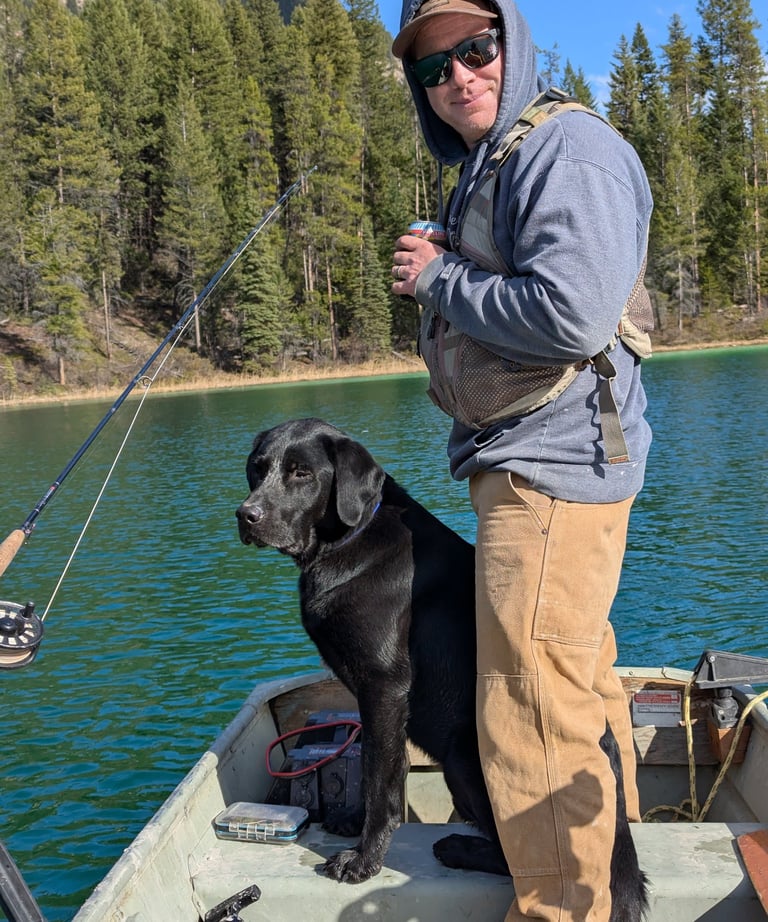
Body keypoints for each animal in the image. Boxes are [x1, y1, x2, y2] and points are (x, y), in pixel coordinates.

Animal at [236, 418, 647, 919]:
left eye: (301, 473)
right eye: (258, 469)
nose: (246, 515)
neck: (350, 542)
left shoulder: (384, 684)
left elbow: (380, 778)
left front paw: (365, 859)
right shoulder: (370, 695)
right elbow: (379, 762)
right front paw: (353, 821)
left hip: (465, 758)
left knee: (522, 862)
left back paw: (457, 847)